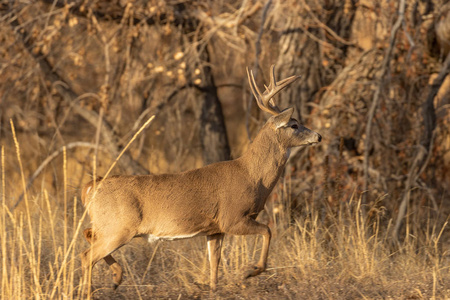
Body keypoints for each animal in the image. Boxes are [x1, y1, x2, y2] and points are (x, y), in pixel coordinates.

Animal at [79, 65, 322, 292]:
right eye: (294, 125)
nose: (318, 136)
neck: (252, 176)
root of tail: (91, 186)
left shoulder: (214, 229)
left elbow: (214, 263)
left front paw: (214, 288)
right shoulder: (232, 218)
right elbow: (267, 230)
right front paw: (251, 271)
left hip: (107, 226)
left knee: (88, 236)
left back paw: (116, 277)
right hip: (119, 227)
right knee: (87, 255)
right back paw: (94, 288)